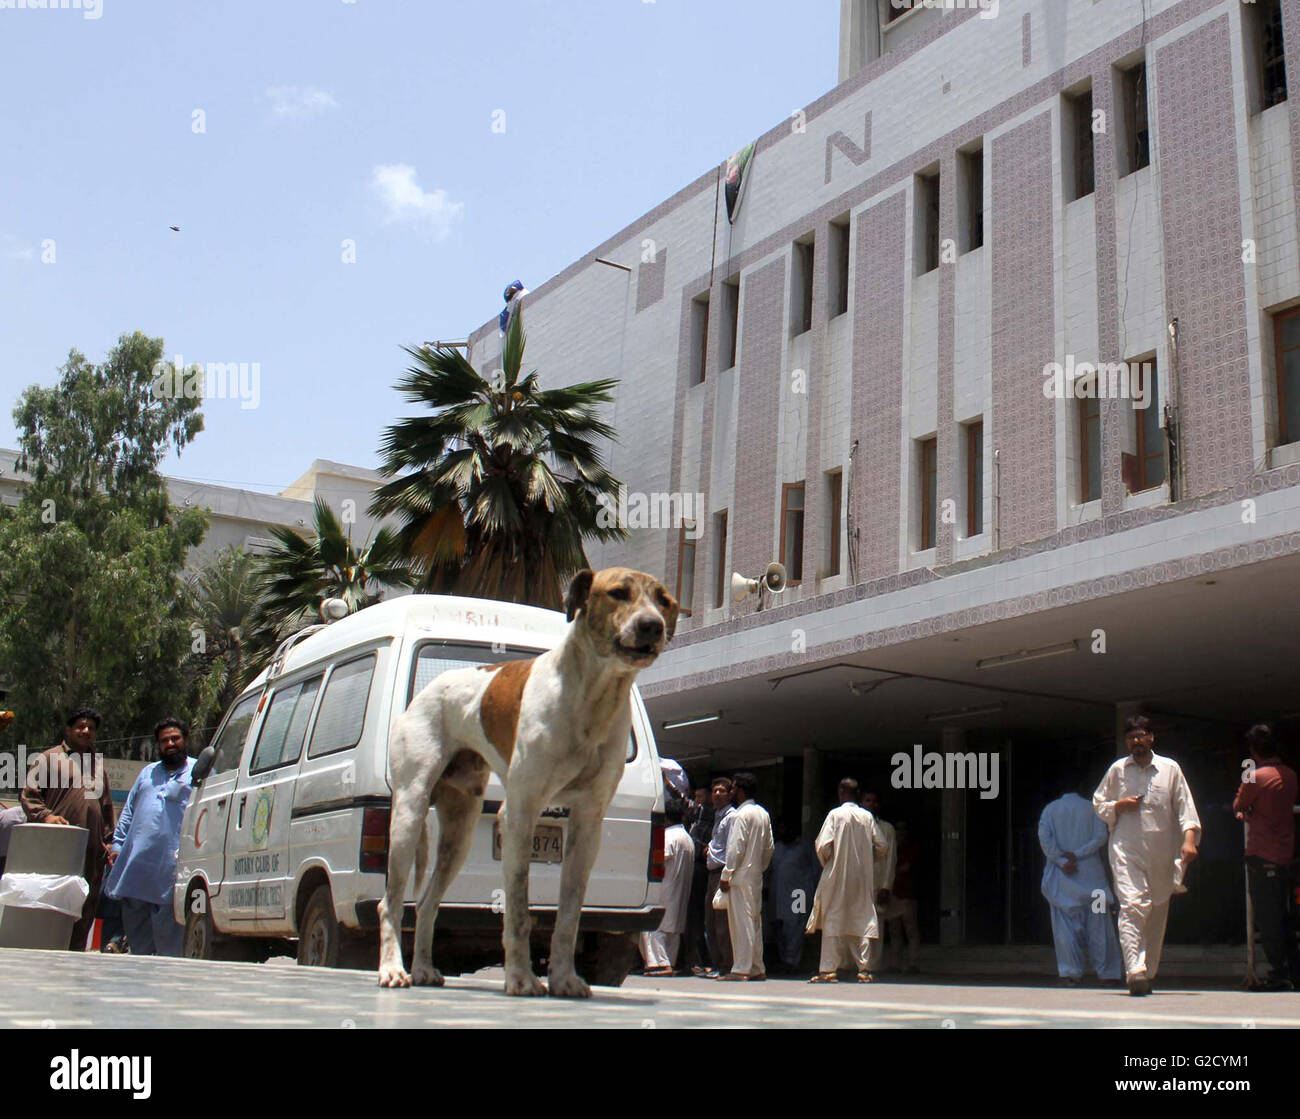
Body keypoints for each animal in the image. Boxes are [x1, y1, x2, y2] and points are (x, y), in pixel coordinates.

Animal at [379, 566, 676, 992]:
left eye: (664, 601)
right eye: (618, 593)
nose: (652, 626)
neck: (594, 697)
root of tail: (426, 692)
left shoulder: (588, 824)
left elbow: (569, 915)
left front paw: (564, 978)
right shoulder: (520, 812)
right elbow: (518, 907)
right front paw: (520, 978)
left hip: (459, 832)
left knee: (426, 903)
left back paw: (421, 968)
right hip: (408, 815)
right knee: (390, 901)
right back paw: (392, 969)